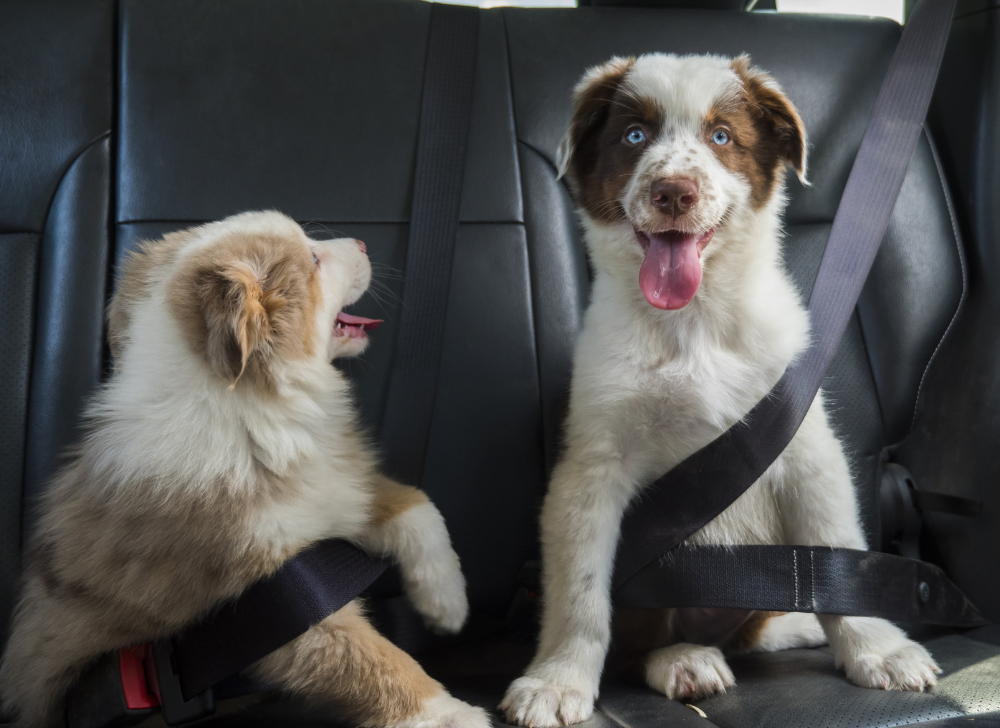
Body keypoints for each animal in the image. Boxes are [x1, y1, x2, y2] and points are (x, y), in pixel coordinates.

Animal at [0, 209, 490, 728]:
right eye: (313, 260)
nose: (361, 242)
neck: (246, 404)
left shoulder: (337, 486)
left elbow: (417, 506)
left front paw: (447, 603)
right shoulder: (274, 604)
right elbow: (375, 662)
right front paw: (451, 714)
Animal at [504, 54, 940, 724]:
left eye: (721, 136)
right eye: (634, 136)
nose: (673, 192)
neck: (695, 322)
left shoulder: (806, 446)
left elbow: (837, 552)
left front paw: (878, 649)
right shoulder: (591, 467)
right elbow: (581, 593)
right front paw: (557, 680)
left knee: (753, 630)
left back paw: (789, 628)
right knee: (643, 641)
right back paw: (684, 659)